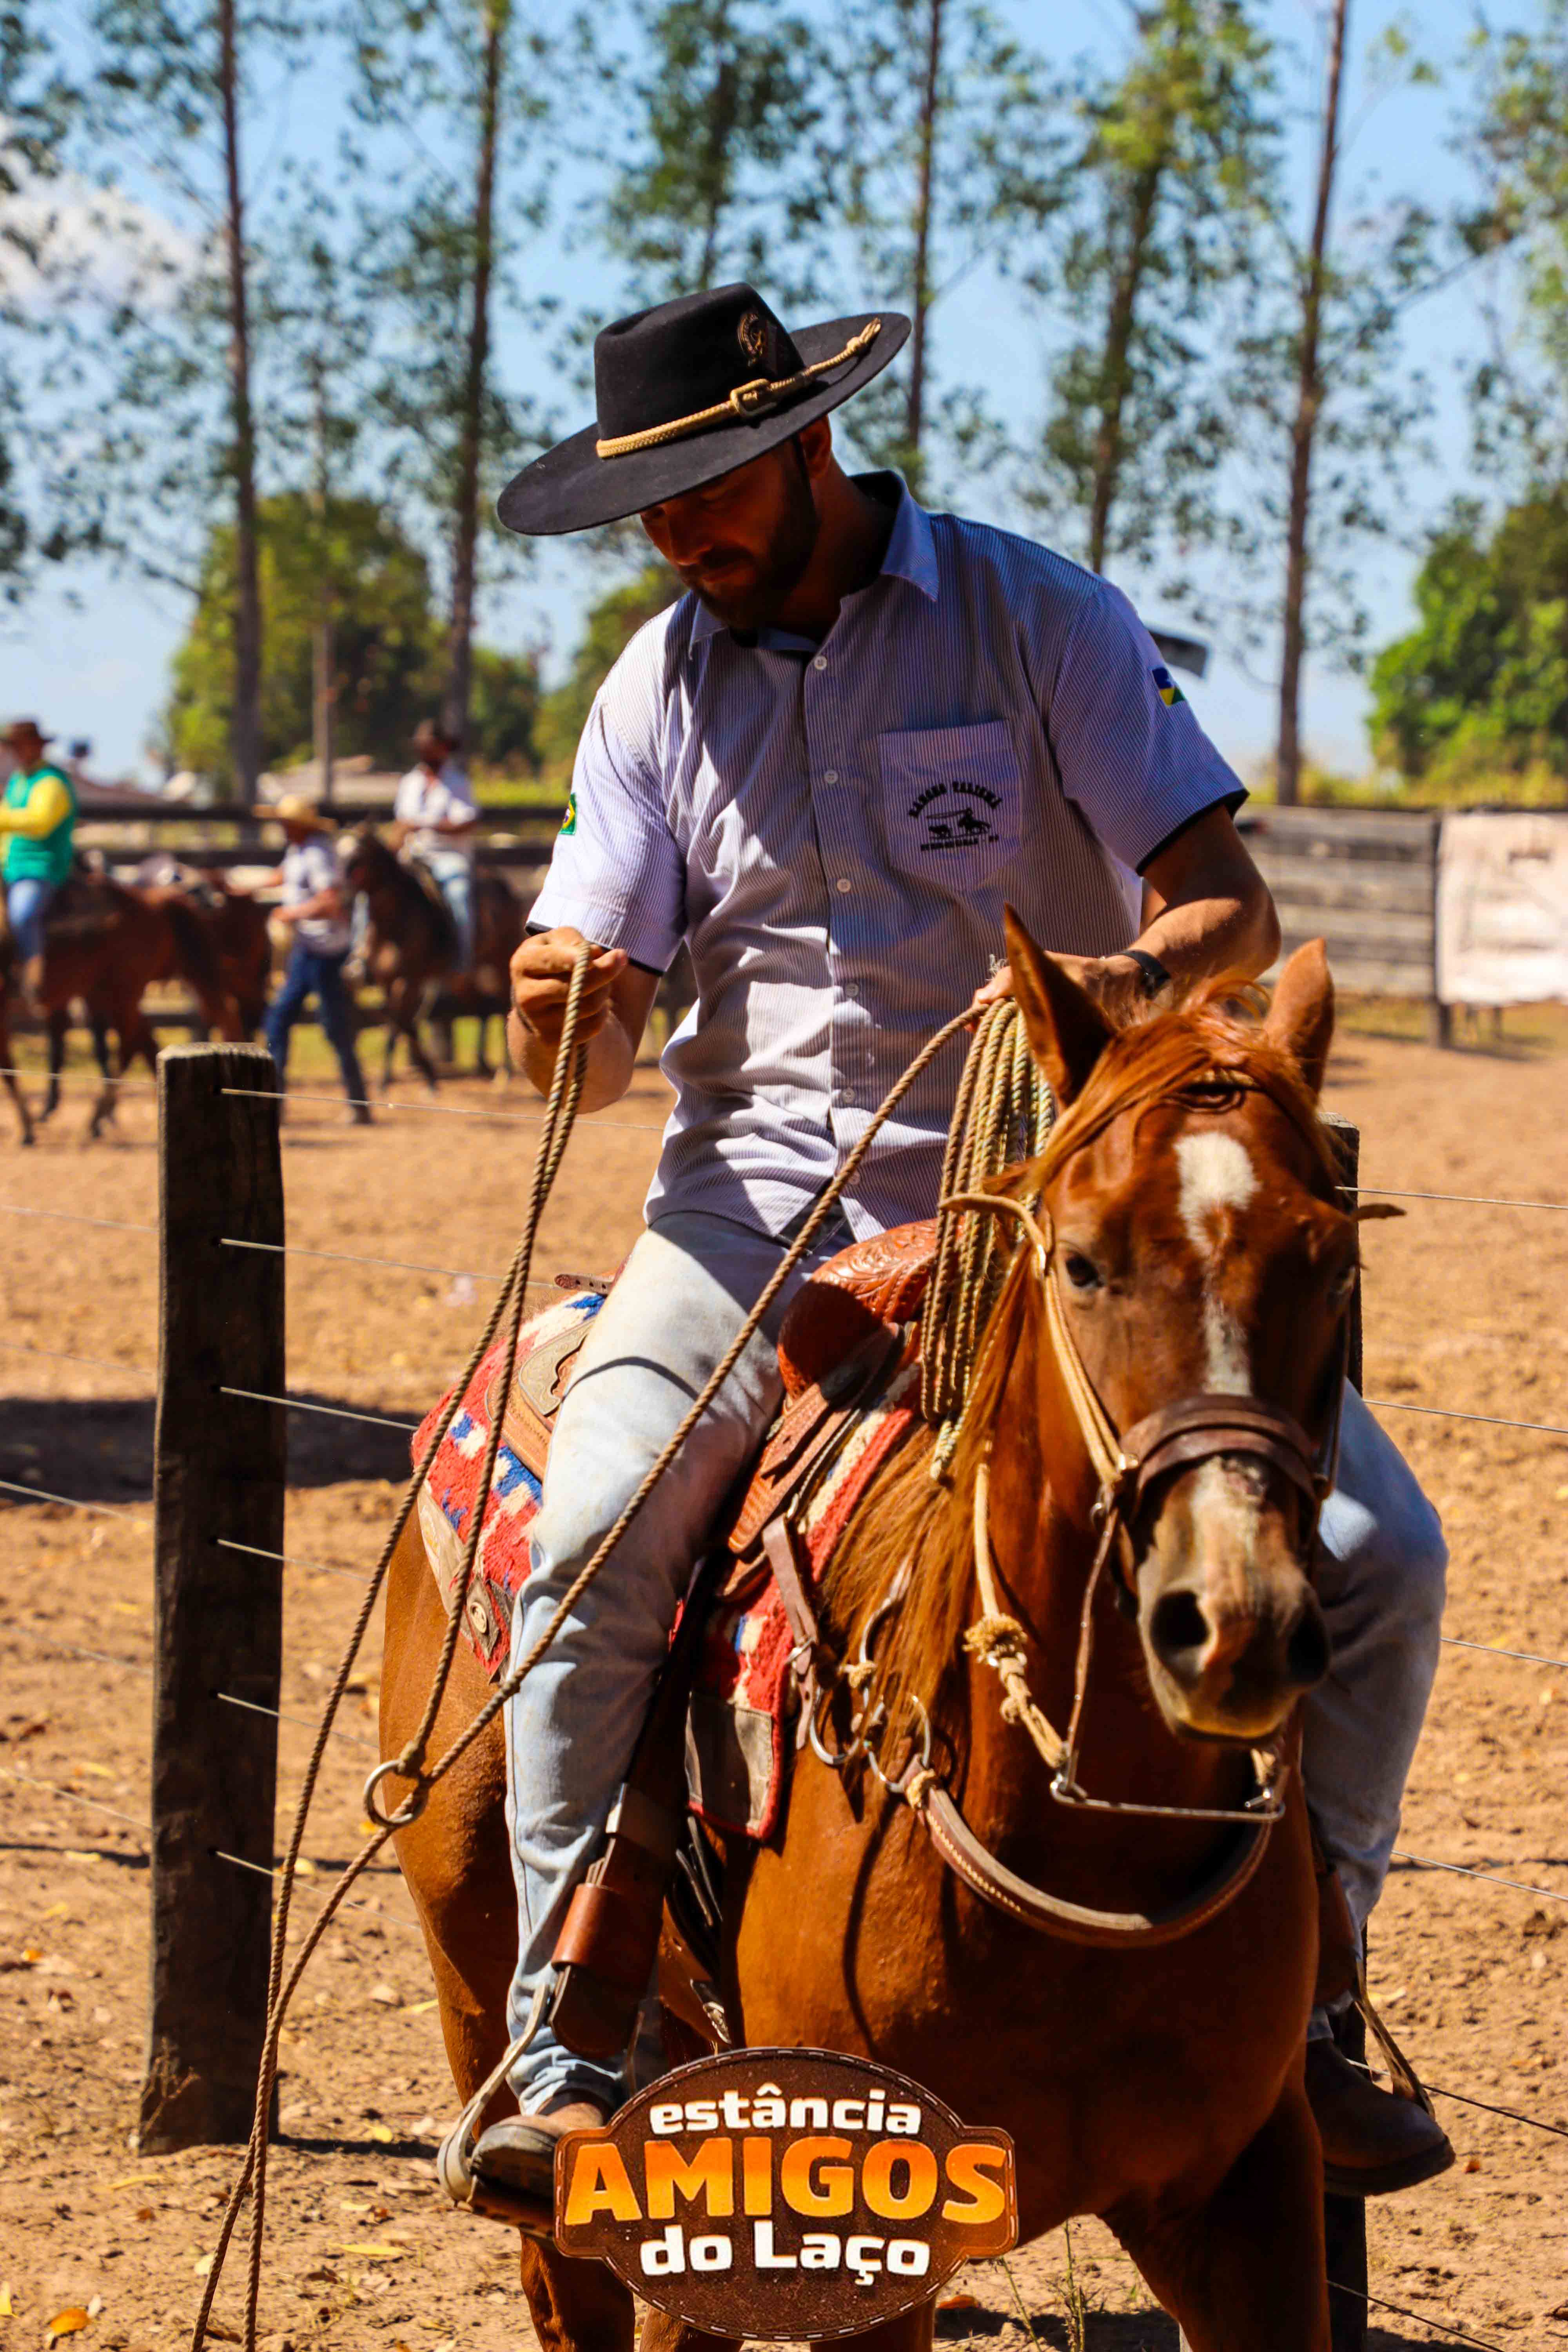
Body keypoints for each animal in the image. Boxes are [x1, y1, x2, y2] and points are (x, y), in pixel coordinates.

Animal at [1, 876, 238, 1142]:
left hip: (121, 993)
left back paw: (98, 1118)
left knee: (130, 1046)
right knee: (144, 1043)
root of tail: (154, 901)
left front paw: (27, 1127)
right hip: (113, 995)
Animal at [381, 926, 1352, 2352]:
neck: (1080, 1846)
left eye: (1329, 1264)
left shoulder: (1253, 2196)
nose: (1234, 1622)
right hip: (470, 1964)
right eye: (1083, 1259)